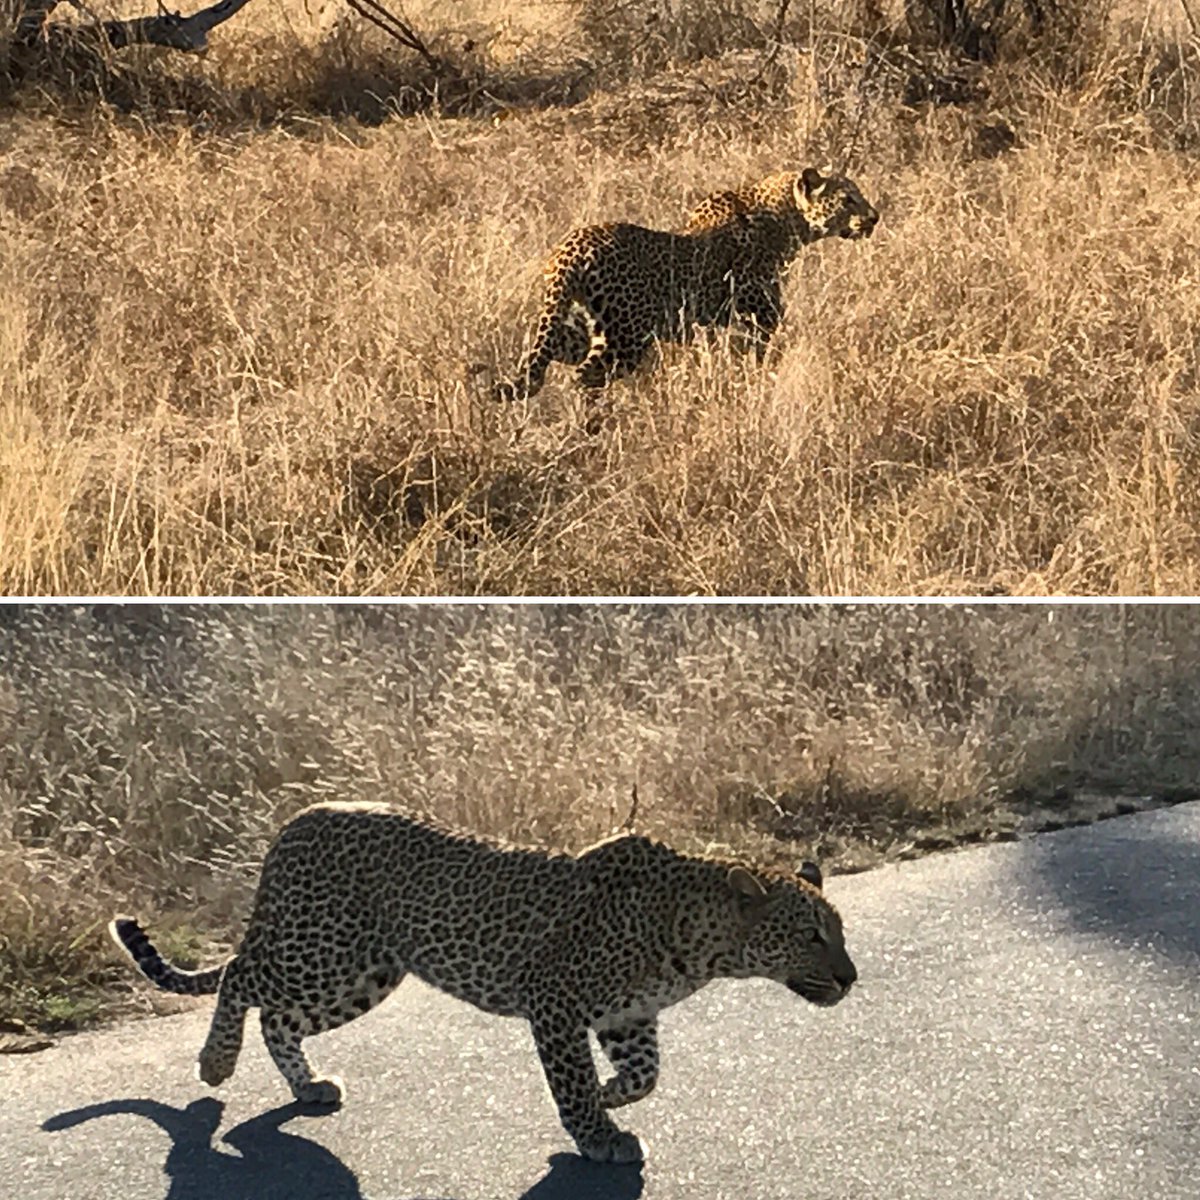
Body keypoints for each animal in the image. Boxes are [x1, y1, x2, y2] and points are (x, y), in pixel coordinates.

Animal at [110, 802, 856, 1165]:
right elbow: (575, 1080)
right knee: (242, 975)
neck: (701, 947)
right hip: (325, 952)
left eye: (840, 932)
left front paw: (612, 1099)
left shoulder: (628, 1018)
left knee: (278, 1016)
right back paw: (215, 1064)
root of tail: (298, 821)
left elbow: (646, 1075)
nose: (851, 977)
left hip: (365, 974)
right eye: (811, 935)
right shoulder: (556, 1003)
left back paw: (308, 1086)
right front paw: (597, 1135)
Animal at [492, 167, 878, 403]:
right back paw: (595, 423)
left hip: (580, 325)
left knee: (543, 358)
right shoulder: (759, 315)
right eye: (848, 199)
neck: (787, 220)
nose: (875, 217)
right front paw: (756, 381)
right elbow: (758, 352)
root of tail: (569, 248)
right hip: (625, 338)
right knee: (583, 376)